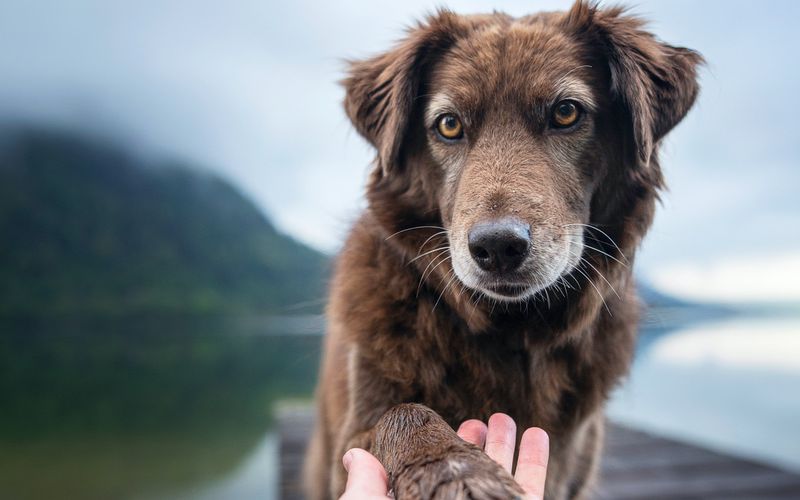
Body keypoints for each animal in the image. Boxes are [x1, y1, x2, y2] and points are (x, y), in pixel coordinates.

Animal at [304, 1, 700, 498]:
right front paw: (457, 471)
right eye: (449, 124)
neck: (511, 331)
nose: (496, 247)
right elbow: (404, 414)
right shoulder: (354, 434)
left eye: (566, 113)